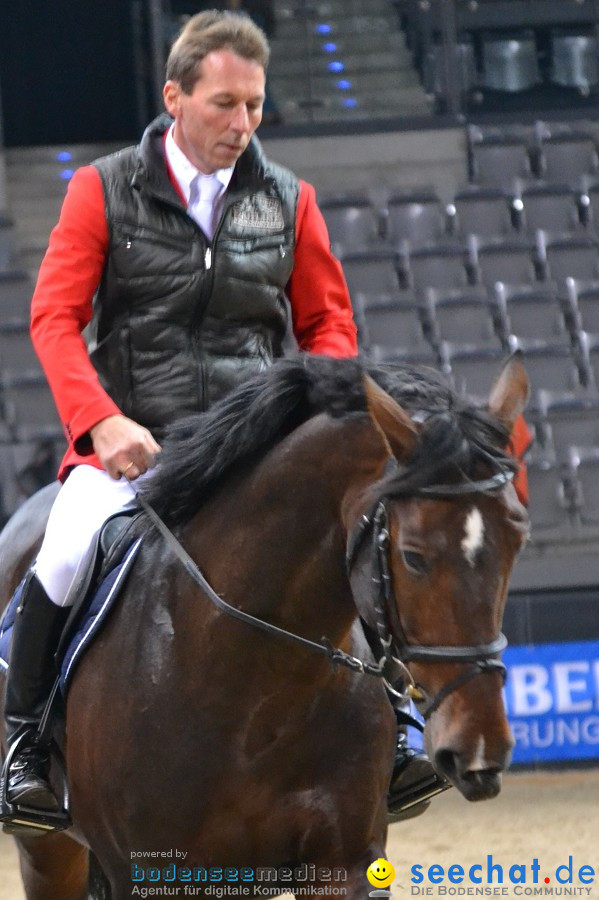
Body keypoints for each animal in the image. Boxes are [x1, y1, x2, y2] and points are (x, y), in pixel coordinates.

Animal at [0, 356, 528, 900]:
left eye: (518, 537)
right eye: (413, 555)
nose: (480, 748)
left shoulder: (344, 866)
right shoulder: (148, 873)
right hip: (47, 850)